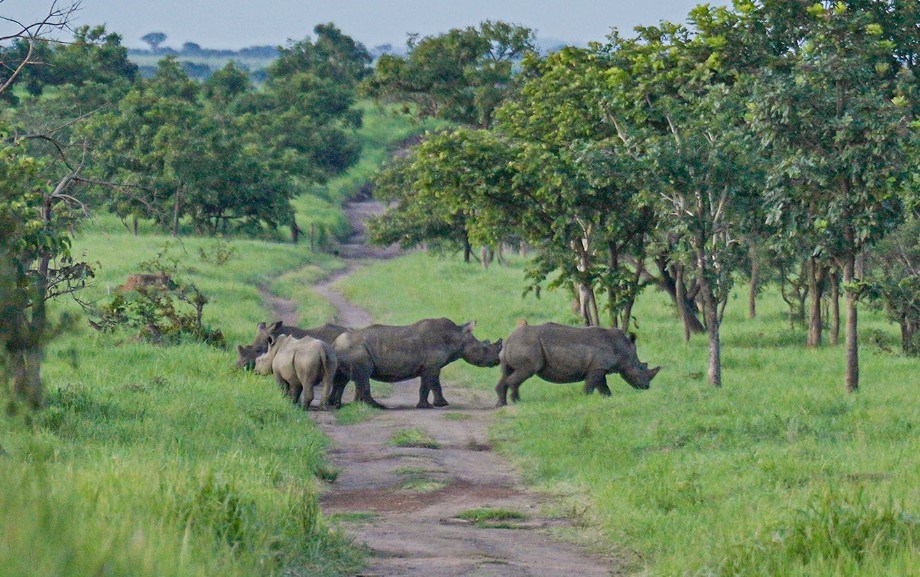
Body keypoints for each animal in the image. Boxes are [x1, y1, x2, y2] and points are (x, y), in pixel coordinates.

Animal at [328, 320, 504, 410]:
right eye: (484, 347)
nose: (497, 361)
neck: (457, 336)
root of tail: (335, 343)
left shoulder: (429, 367)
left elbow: (428, 385)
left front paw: (427, 405)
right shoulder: (432, 366)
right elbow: (433, 384)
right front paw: (439, 405)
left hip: (345, 351)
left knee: (341, 379)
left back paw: (336, 405)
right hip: (355, 349)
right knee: (363, 376)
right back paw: (377, 407)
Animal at [496, 322, 660, 408]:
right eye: (641, 367)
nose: (646, 387)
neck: (623, 349)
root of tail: (509, 338)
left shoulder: (598, 367)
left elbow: (603, 387)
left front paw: (607, 398)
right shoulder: (597, 367)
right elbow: (591, 386)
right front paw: (585, 398)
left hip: (514, 347)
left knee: (506, 372)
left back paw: (501, 404)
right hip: (528, 345)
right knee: (525, 371)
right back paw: (516, 401)